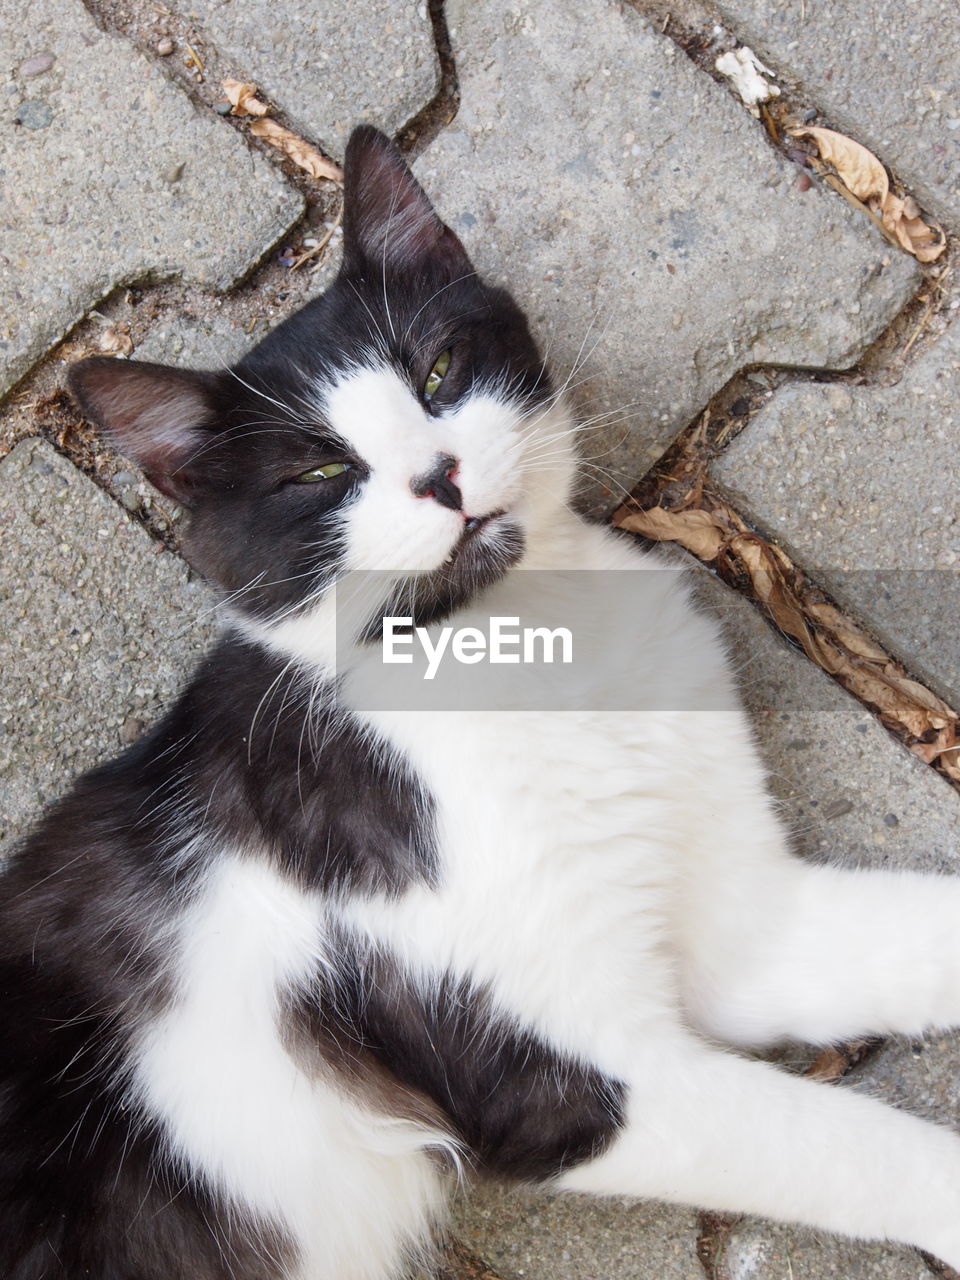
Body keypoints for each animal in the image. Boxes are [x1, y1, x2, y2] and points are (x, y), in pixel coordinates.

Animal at [1, 122, 960, 1280]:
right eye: (318, 472)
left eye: (439, 371)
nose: (440, 476)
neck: (533, 646)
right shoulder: (571, 1080)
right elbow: (859, 1149)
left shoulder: (749, 927)